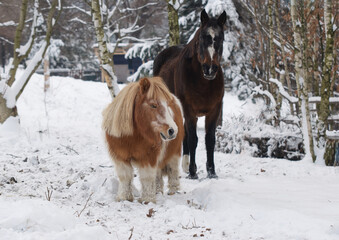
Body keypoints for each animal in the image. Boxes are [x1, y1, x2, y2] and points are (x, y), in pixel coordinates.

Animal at [153, 8, 227, 178]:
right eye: (202, 38)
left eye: (220, 39)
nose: (210, 69)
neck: (203, 82)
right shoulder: (189, 110)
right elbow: (193, 139)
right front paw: (193, 172)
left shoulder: (214, 111)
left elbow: (209, 140)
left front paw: (211, 171)